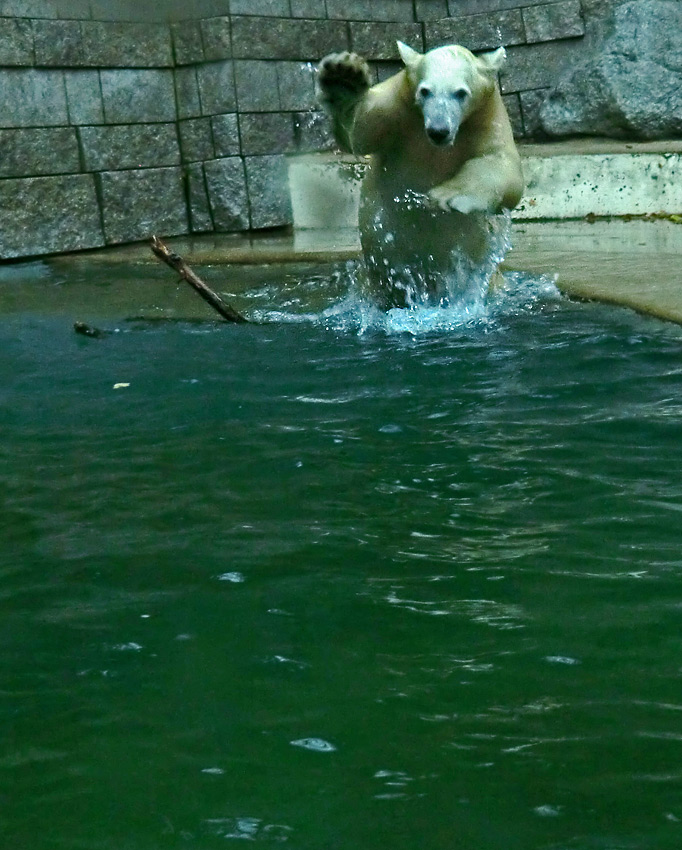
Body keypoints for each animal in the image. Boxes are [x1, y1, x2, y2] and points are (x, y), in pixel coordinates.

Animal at [318, 42, 520, 308]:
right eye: (425, 91)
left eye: (460, 93)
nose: (438, 130)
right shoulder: (399, 106)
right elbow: (362, 131)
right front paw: (343, 78)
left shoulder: (487, 118)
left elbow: (503, 167)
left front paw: (448, 195)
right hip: (373, 280)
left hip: (491, 281)